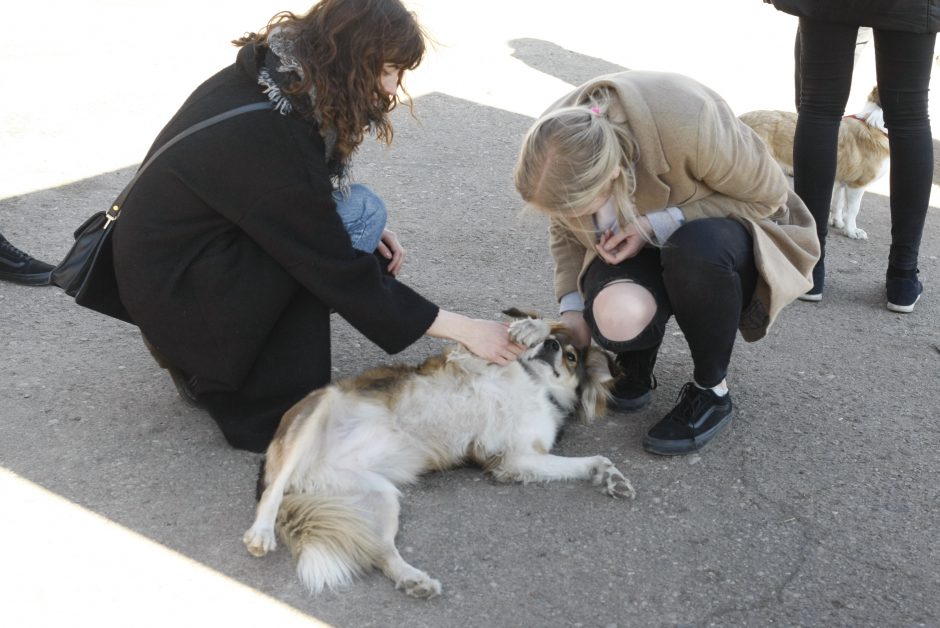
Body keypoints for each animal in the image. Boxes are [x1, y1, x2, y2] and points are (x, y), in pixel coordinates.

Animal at [242, 312, 632, 600]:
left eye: (571, 357)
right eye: (552, 348)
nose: (549, 346)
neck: (534, 383)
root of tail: (305, 480)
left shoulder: (516, 459)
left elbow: (592, 460)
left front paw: (611, 477)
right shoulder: (471, 357)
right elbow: (522, 326)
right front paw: (531, 327)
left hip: (380, 497)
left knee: (381, 552)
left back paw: (414, 579)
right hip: (317, 413)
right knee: (272, 492)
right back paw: (261, 532)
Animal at [740, 89, 888, 242]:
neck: (874, 125)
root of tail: (740, 119)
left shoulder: (841, 181)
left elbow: (838, 204)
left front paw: (837, 222)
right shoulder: (857, 185)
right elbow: (853, 210)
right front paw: (852, 231)